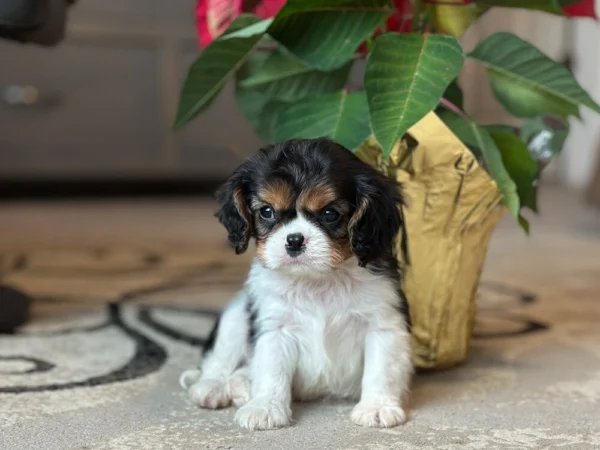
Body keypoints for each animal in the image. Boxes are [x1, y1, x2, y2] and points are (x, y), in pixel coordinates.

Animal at [179, 137, 412, 428]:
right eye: (267, 212)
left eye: (330, 213)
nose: (294, 240)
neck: (318, 279)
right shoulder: (275, 327)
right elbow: (271, 371)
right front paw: (265, 407)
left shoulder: (382, 323)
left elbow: (381, 369)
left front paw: (377, 406)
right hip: (236, 314)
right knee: (219, 359)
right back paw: (215, 386)